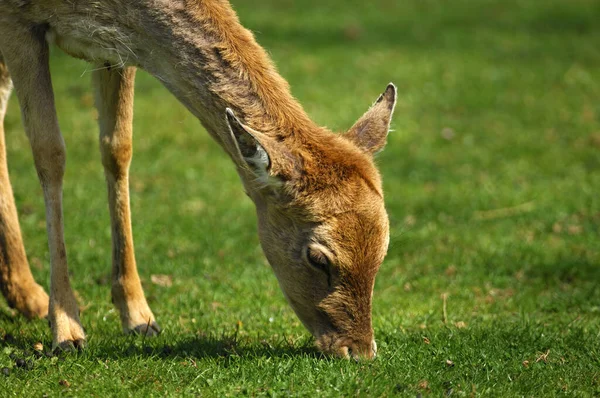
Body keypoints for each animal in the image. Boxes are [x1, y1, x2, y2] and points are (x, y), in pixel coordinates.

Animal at [0, 0, 396, 360]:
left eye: (383, 248)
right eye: (318, 258)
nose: (359, 351)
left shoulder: (113, 49)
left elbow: (118, 148)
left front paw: (139, 316)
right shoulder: (18, 20)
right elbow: (50, 153)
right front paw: (67, 330)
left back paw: (24, 295)